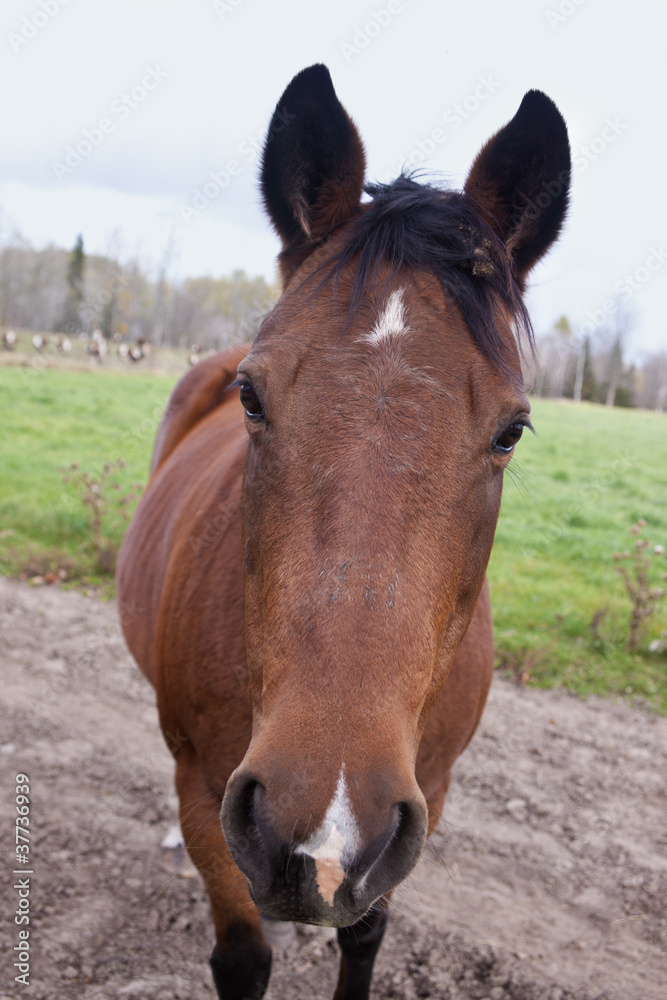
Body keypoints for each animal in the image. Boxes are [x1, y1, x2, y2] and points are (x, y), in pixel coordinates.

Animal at [117, 64, 572, 1000]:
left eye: (510, 430)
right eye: (252, 397)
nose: (316, 831)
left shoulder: (422, 796)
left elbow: (365, 933)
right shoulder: (204, 792)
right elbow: (243, 955)